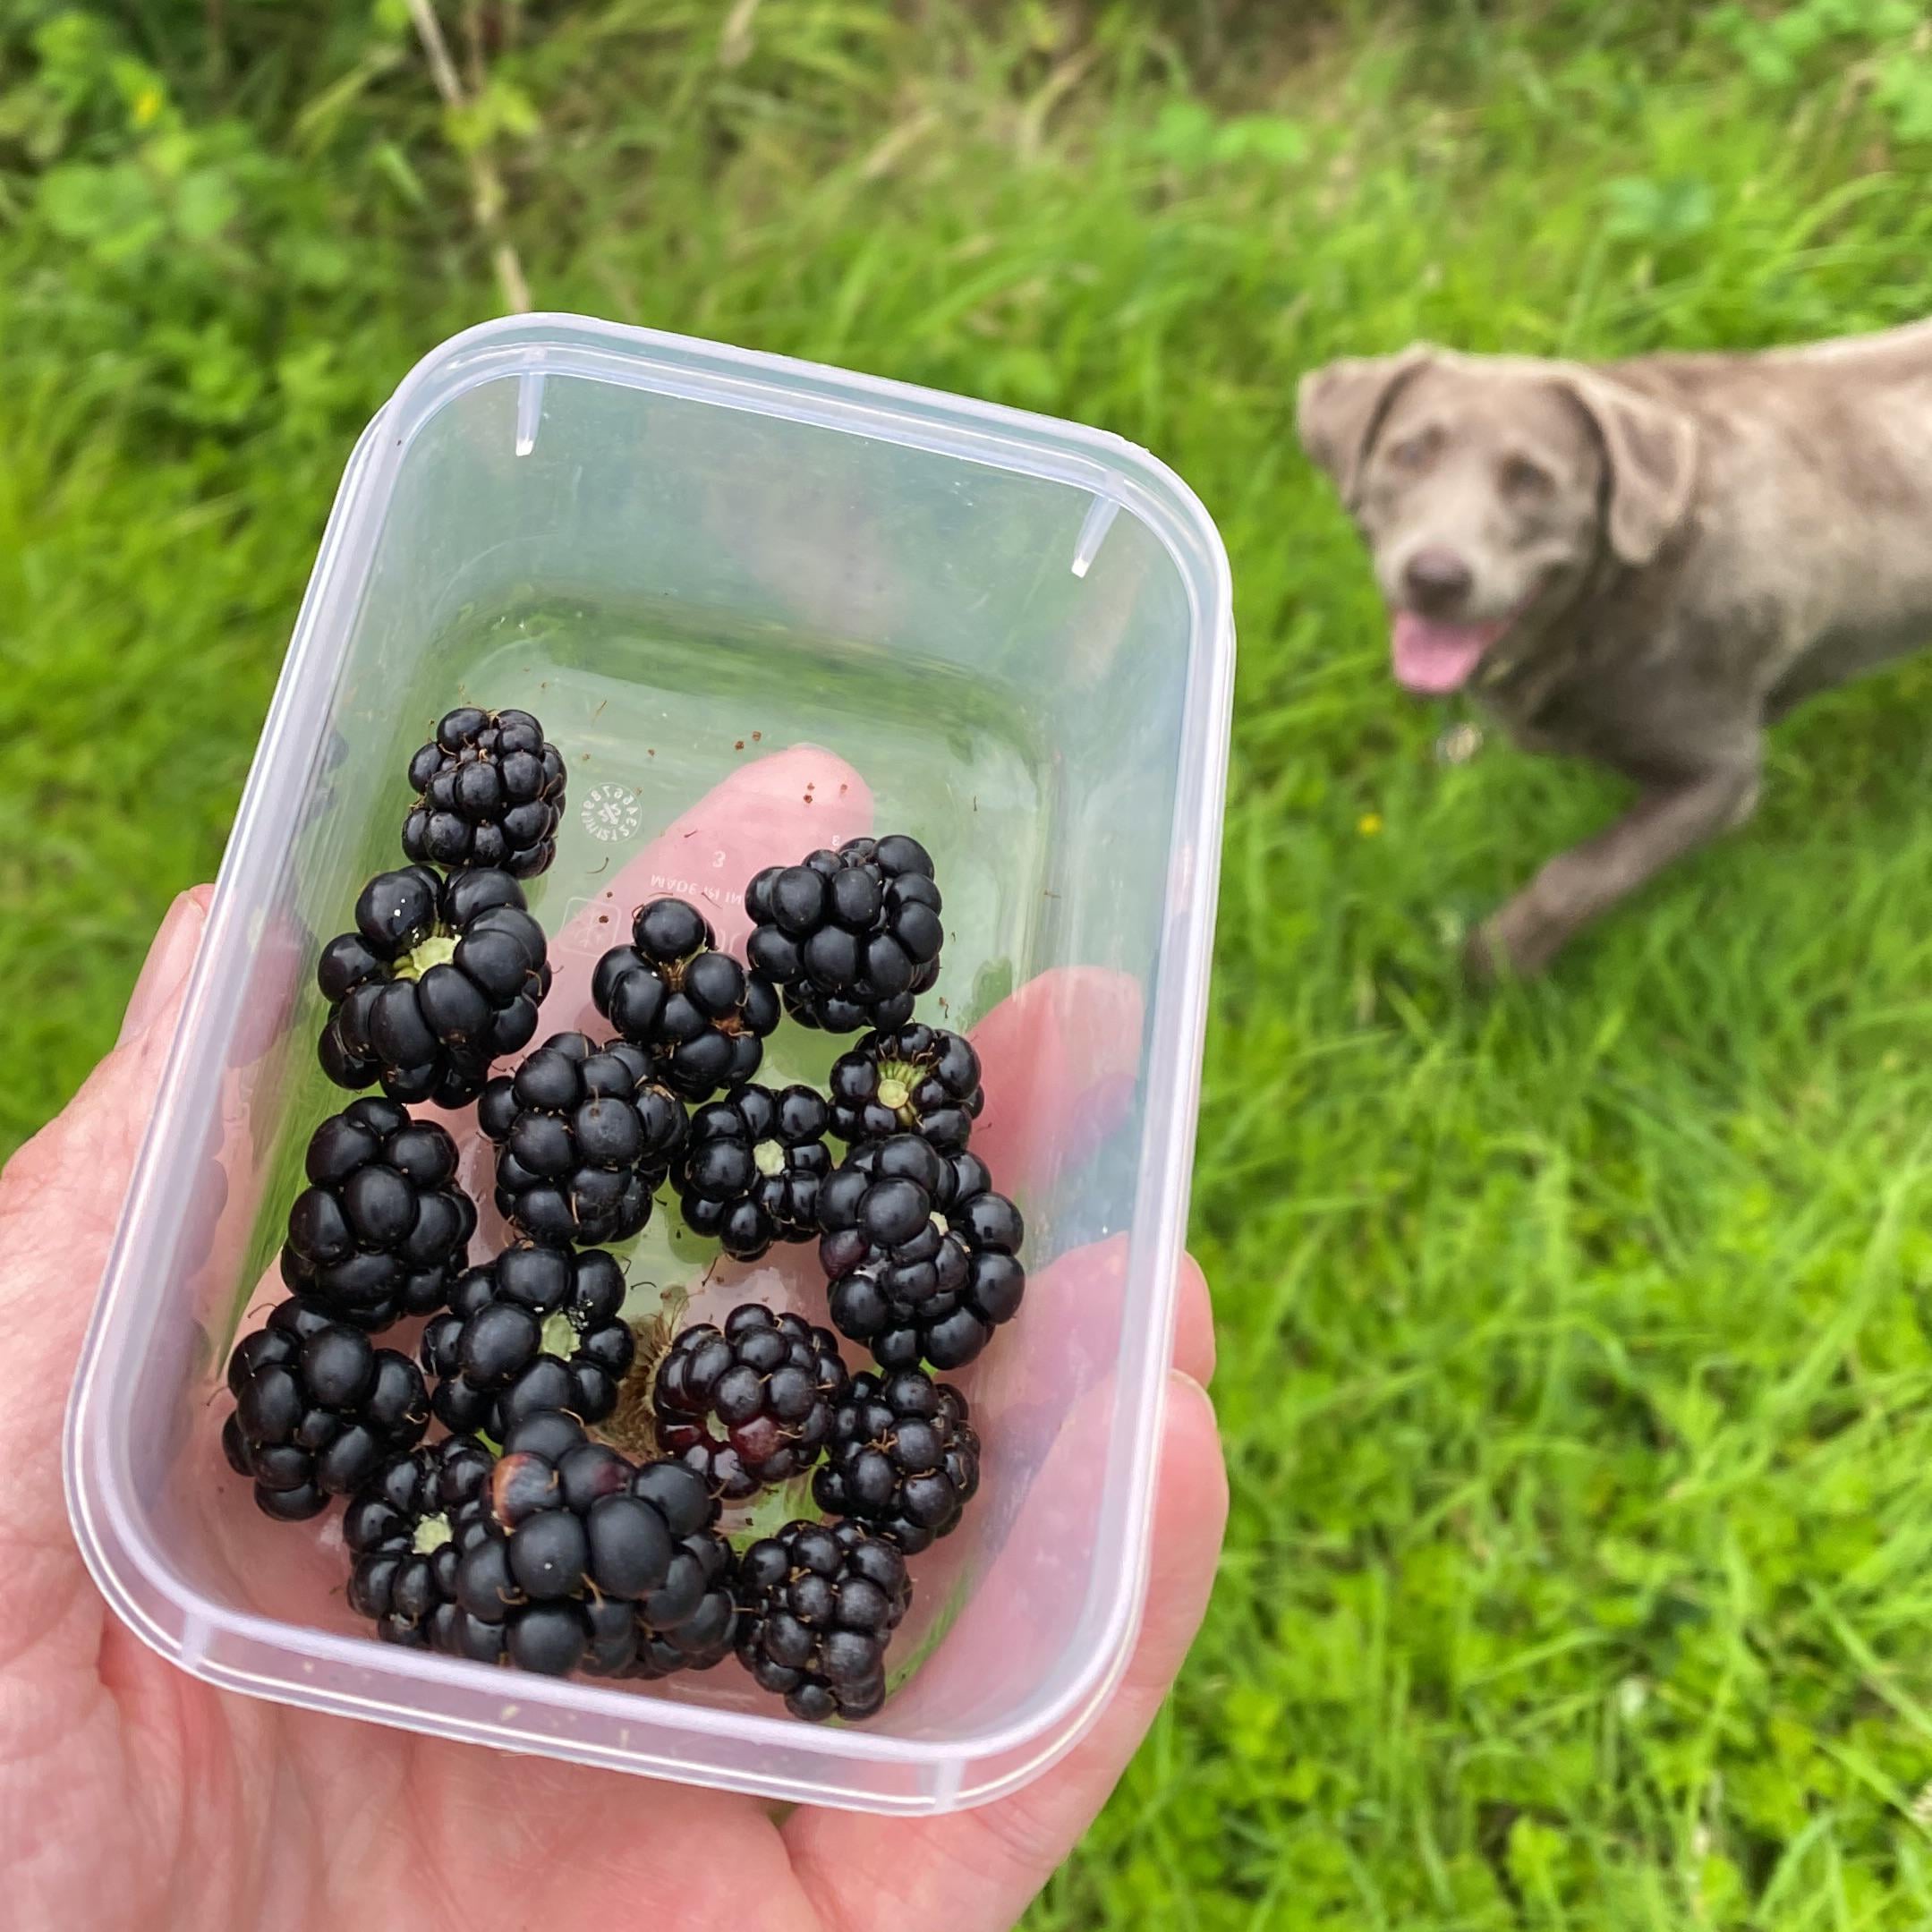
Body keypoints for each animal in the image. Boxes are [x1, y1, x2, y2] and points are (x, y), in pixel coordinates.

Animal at [1297, 321, 1932, 976]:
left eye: (1532, 479)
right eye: (1409, 453)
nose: (1436, 577)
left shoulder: (1722, 773)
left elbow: (1580, 875)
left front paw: (1491, 964)